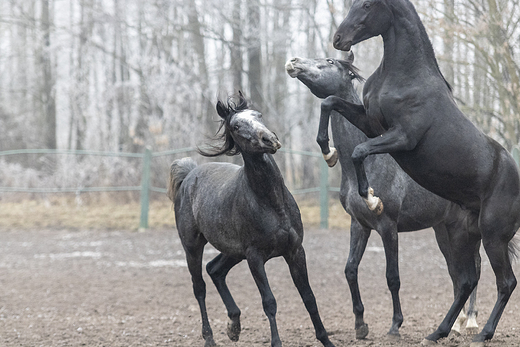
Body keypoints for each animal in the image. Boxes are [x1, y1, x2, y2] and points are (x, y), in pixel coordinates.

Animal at [169, 92, 336, 347]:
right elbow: (269, 302)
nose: (269, 140)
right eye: (236, 126)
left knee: (215, 270)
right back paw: (210, 338)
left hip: (234, 252)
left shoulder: (295, 251)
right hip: (193, 247)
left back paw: (234, 326)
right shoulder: (255, 257)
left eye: (258, 115)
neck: (272, 204)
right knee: (199, 287)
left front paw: (327, 340)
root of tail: (189, 175)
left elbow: (309, 297)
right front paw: (276, 342)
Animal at [284, 54, 480, 340]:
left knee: (475, 269)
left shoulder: (388, 227)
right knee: (457, 273)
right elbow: (350, 270)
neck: (368, 163)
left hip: (466, 231)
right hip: (443, 230)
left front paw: (395, 325)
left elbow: (392, 277)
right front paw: (360, 325)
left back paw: (472, 321)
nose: (294, 62)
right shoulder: (359, 225)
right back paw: (456, 324)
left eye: (330, 61)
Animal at [330, 0, 520, 347]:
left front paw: (371, 197)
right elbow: (330, 102)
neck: (405, 77)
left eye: (367, 5)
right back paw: (438, 331)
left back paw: (482, 333)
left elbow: (359, 151)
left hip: (493, 236)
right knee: (466, 281)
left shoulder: (401, 137)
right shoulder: (371, 123)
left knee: (505, 282)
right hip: (462, 235)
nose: (339, 39)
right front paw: (327, 151)